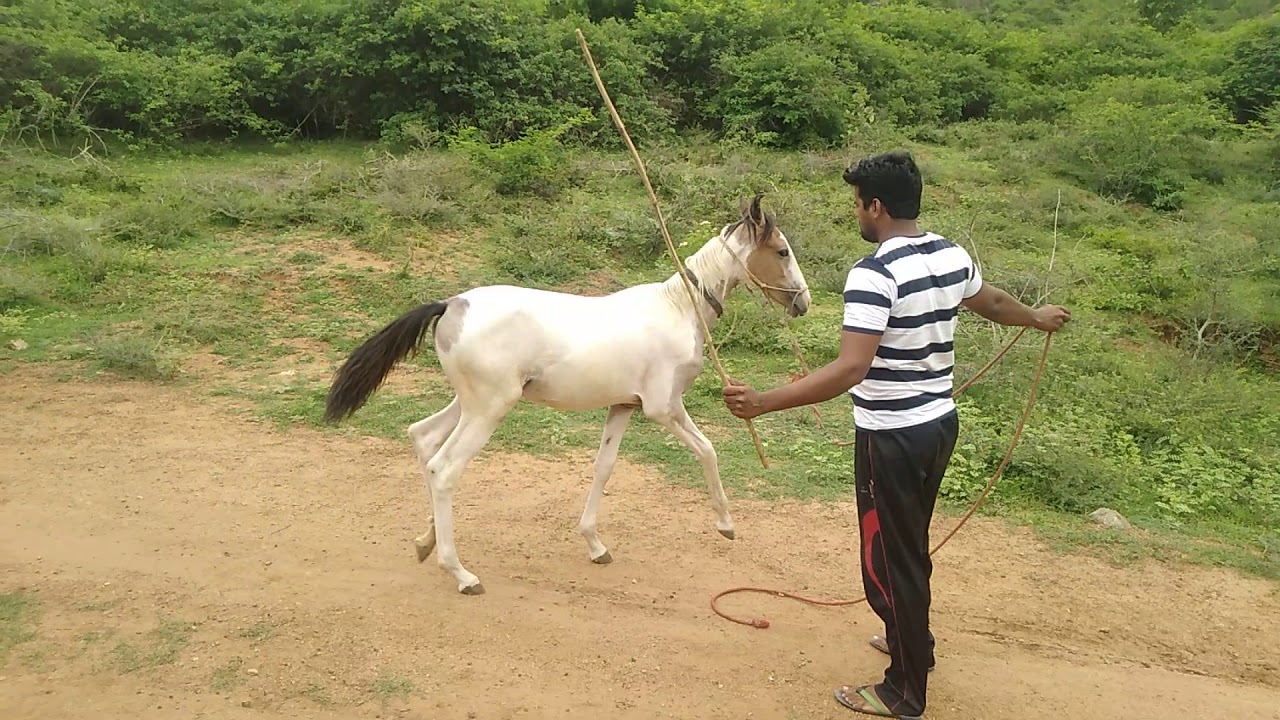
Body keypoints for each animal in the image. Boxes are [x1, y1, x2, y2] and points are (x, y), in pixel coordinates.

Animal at [323, 193, 812, 595]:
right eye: (782, 251)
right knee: (443, 469)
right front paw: (726, 524)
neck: (678, 310)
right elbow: (708, 450)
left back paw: (425, 542)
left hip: (468, 404)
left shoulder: (623, 406)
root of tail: (451, 304)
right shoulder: (664, 408)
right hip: (488, 410)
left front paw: (595, 545)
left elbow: (604, 468)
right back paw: (461, 574)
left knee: (423, 438)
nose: (802, 303)